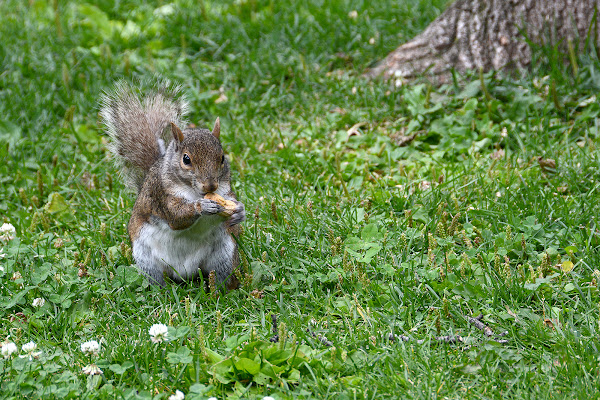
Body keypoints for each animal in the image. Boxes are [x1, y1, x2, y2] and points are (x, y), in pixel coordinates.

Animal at [99, 80, 245, 288]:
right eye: (186, 159)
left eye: (222, 157)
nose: (210, 186)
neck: (194, 191)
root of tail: (185, 272)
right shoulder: (161, 195)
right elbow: (176, 217)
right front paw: (202, 206)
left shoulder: (225, 190)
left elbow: (231, 200)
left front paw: (239, 210)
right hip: (146, 259)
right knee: (156, 281)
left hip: (224, 255)